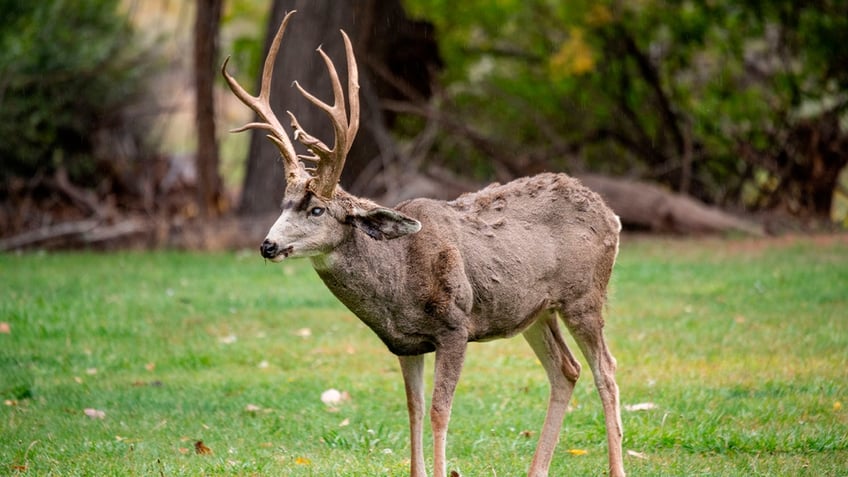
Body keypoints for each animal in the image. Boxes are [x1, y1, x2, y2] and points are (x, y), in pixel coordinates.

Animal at [222, 11, 628, 476]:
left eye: (318, 210)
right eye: (283, 203)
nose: (267, 246)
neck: (398, 281)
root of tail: (612, 215)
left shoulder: (455, 325)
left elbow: (439, 411)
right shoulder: (404, 342)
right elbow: (413, 410)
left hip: (584, 296)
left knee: (606, 370)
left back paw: (616, 466)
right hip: (536, 310)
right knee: (567, 369)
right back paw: (537, 468)